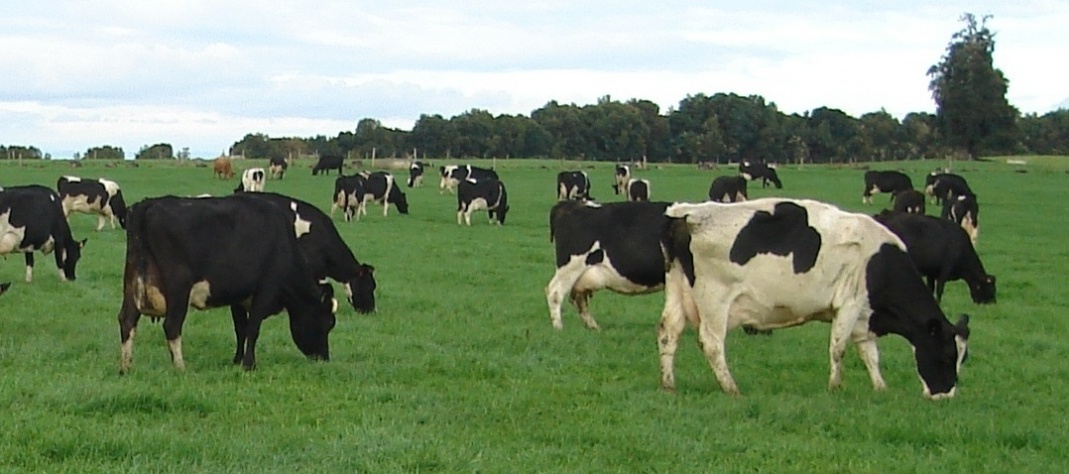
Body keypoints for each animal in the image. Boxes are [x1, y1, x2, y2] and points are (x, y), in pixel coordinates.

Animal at [116, 194, 339, 373]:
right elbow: (253, 329)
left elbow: (241, 329)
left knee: (127, 320)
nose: (325, 358)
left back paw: (126, 368)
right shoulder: (265, 291)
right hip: (179, 287)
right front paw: (249, 365)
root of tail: (148, 204)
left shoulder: (238, 297)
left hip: (130, 282)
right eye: (328, 322)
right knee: (172, 325)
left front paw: (237, 361)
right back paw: (180, 368)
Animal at [545, 200, 670, 330]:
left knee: (578, 297)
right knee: (555, 292)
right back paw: (559, 327)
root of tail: (571, 203)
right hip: (570, 267)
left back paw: (593, 327)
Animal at [658, 199, 971, 399]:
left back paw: (669, 384)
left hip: (677, 289)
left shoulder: (863, 315)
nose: (946, 394)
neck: (879, 262)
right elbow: (839, 348)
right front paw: (835, 387)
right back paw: (731, 388)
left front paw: (880, 387)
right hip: (715, 299)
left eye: (963, 359)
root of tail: (686, 214)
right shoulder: (849, 303)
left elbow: (869, 353)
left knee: (668, 332)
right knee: (711, 343)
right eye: (947, 355)